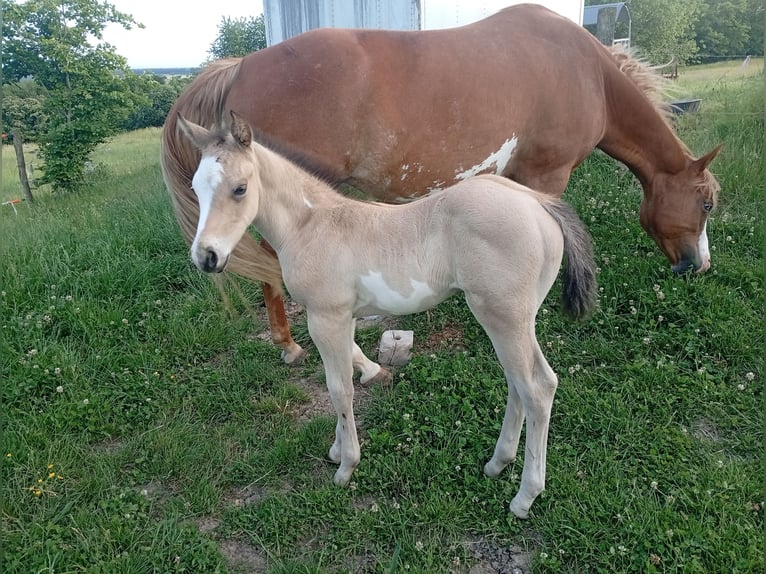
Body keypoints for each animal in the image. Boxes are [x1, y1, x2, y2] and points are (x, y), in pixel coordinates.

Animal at [161, 3, 721, 364]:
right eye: (706, 204)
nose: (698, 266)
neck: (586, 71)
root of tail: (240, 67)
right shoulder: (547, 175)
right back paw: (293, 344)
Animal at [177, 111, 597, 518]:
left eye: (240, 188)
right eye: (196, 188)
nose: (206, 257)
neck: (311, 226)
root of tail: (537, 201)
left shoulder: (325, 318)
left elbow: (339, 387)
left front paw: (346, 466)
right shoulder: (343, 317)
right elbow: (347, 370)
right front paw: (337, 448)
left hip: (504, 317)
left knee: (536, 389)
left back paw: (525, 497)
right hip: (516, 320)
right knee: (523, 383)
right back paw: (497, 463)